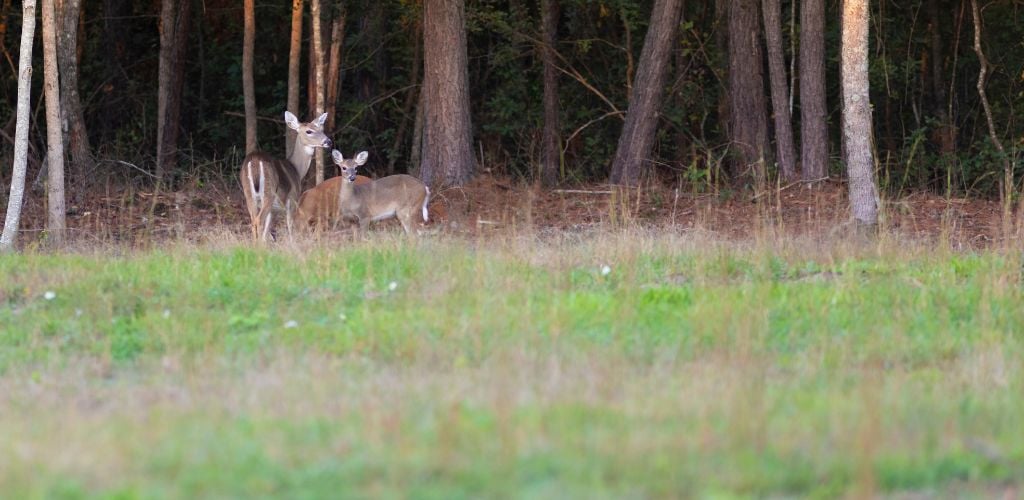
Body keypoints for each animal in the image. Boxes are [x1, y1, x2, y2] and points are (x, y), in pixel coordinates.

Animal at [239, 110, 331, 241]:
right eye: (309, 131)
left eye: (321, 129)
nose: (328, 141)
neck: (297, 170)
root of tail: (255, 161)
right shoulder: (292, 199)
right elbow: (290, 225)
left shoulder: (274, 209)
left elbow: (267, 231)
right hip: (268, 193)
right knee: (258, 220)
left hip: (249, 194)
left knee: (253, 220)